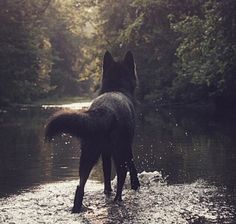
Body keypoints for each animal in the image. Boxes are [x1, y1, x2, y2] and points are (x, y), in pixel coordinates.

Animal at [45, 51, 139, 214]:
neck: (117, 88)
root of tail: (105, 109)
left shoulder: (106, 153)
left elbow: (106, 174)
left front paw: (107, 191)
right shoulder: (127, 147)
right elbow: (132, 166)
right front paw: (135, 185)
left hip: (88, 156)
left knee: (80, 187)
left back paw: (77, 209)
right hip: (118, 152)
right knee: (121, 175)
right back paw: (118, 200)